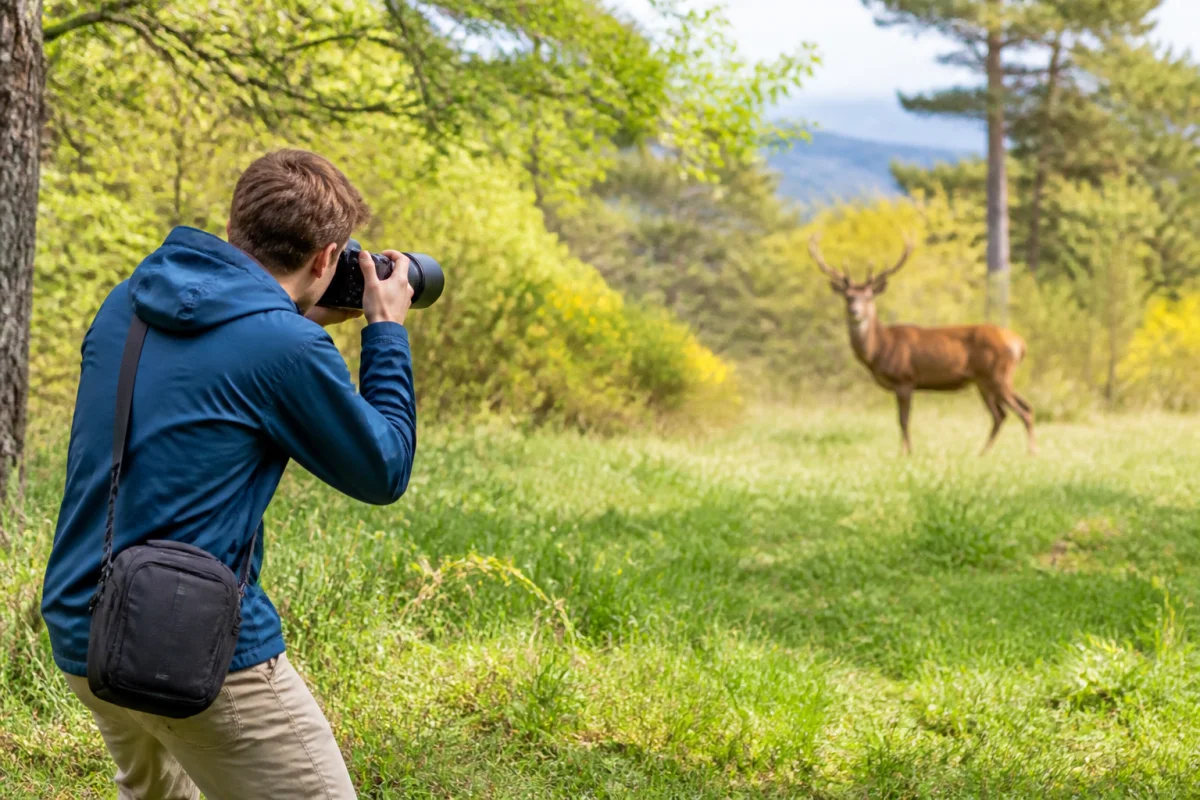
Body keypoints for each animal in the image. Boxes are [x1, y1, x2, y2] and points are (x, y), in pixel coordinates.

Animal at [808, 235, 1036, 456]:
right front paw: (907, 451)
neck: (880, 349)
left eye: (869, 297)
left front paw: (905, 453)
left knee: (1021, 411)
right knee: (1006, 413)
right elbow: (902, 419)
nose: (855, 312)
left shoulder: (904, 379)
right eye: (848, 297)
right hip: (985, 381)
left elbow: (903, 419)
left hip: (998, 374)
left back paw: (1030, 452)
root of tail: (1020, 343)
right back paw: (982, 453)